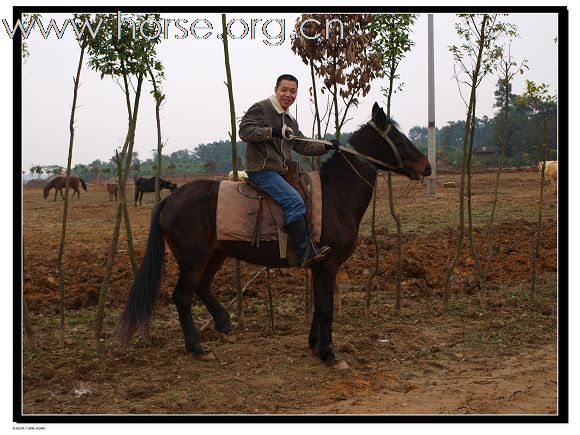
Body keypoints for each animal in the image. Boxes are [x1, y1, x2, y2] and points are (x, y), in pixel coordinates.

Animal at [116, 104, 430, 370]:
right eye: (399, 139)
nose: (426, 166)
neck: (334, 196)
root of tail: (171, 198)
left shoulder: (319, 267)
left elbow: (319, 306)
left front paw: (315, 345)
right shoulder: (327, 265)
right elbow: (326, 308)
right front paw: (329, 354)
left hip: (215, 254)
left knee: (202, 288)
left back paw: (224, 325)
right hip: (193, 259)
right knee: (182, 297)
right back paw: (198, 347)